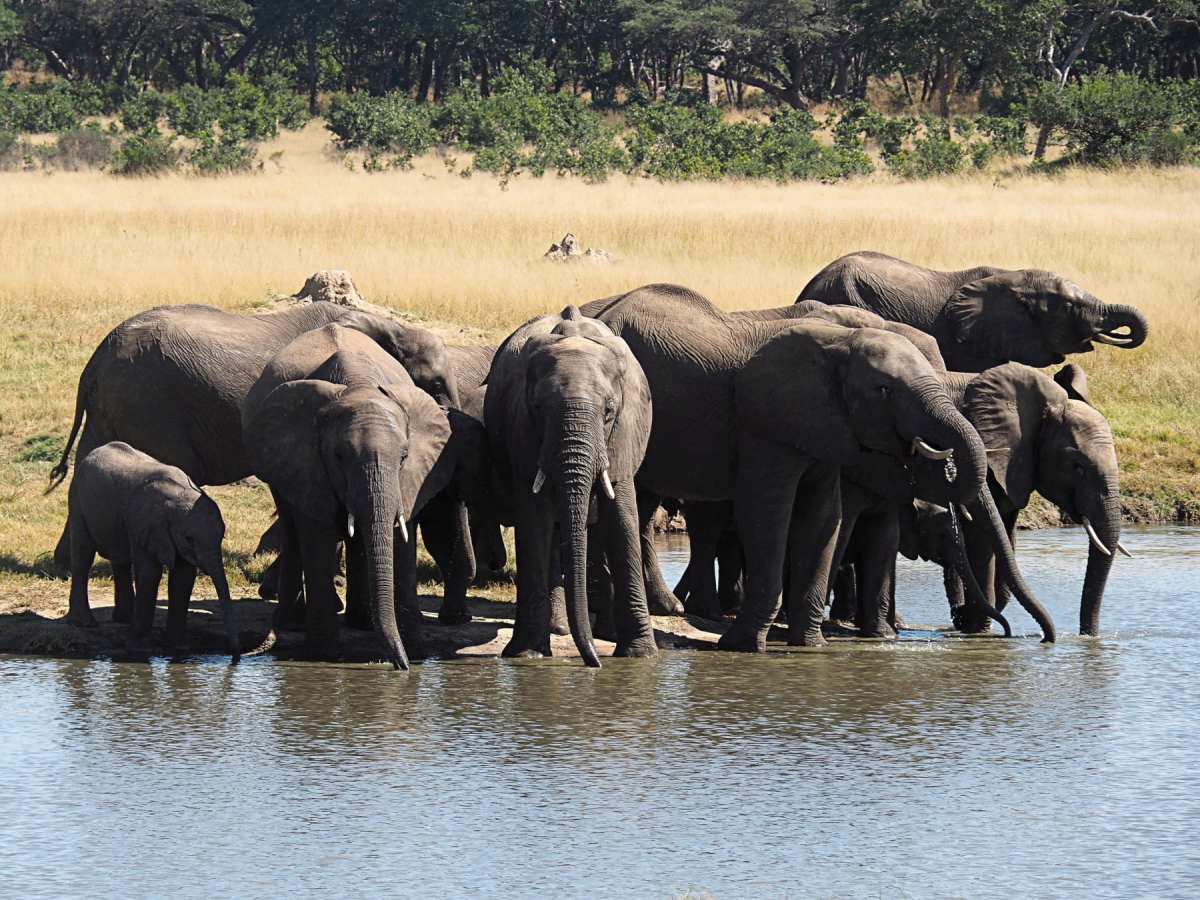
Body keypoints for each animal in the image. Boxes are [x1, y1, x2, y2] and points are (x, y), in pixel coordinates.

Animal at [49, 301, 459, 569]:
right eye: (436, 384)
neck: (387, 326)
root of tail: (96, 360)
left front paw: (266, 553)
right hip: (147, 403)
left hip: (113, 406)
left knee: (90, 459)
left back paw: (66, 566)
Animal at [65, 441, 239, 659]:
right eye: (189, 539)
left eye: (221, 537)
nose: (234, 655)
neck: (179, 494)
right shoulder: (145, 524)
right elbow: (150, 573)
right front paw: (140, 650)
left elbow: (183, 578)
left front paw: (178, 649)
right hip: (78, 500)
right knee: (83, 555)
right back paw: (85, 623)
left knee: (120, 560)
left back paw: (124, 619)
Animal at [242, 324, 453, 669]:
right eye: (338, 456)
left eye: (404, 457)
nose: (401, 667)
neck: (357, 385)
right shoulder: (306, 460)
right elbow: (317, 537)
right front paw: (322, 658)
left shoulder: (414, 477)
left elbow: (402, 540)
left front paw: (417, 654)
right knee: (292, 526)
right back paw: (292, 622)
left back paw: (361, 622)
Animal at [484, 306, 658, 667]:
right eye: (538, 408)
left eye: (609, 411)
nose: (594, 663)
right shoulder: (522, 430)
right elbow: (534, 523)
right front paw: (527, 655)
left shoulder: (624, 433)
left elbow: (622, 518)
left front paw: (640, 656)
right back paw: (558, 630)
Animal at [581, 284, 1048, 652]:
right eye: (883, 390)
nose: (1036, 637)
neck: (844, 339)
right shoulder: (768, 423)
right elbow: (767, 514)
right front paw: (744, 645)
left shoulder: (825, 429)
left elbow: (824, 517)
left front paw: (809, 645)